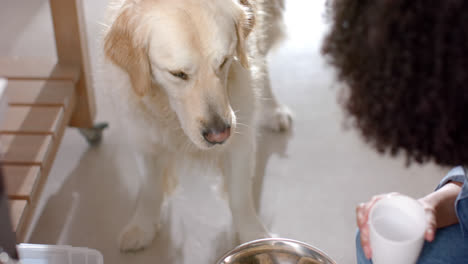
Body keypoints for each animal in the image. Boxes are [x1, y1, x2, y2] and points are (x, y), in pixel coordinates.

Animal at [102, 0, 290, 251]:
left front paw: (254, 236)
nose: (219, 135)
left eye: (224, 61)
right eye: (178, 74)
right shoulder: (143, 136)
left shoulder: (239, 140)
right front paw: (142, 226)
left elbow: (240, 196)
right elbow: (150, 189)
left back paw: (273, 110)